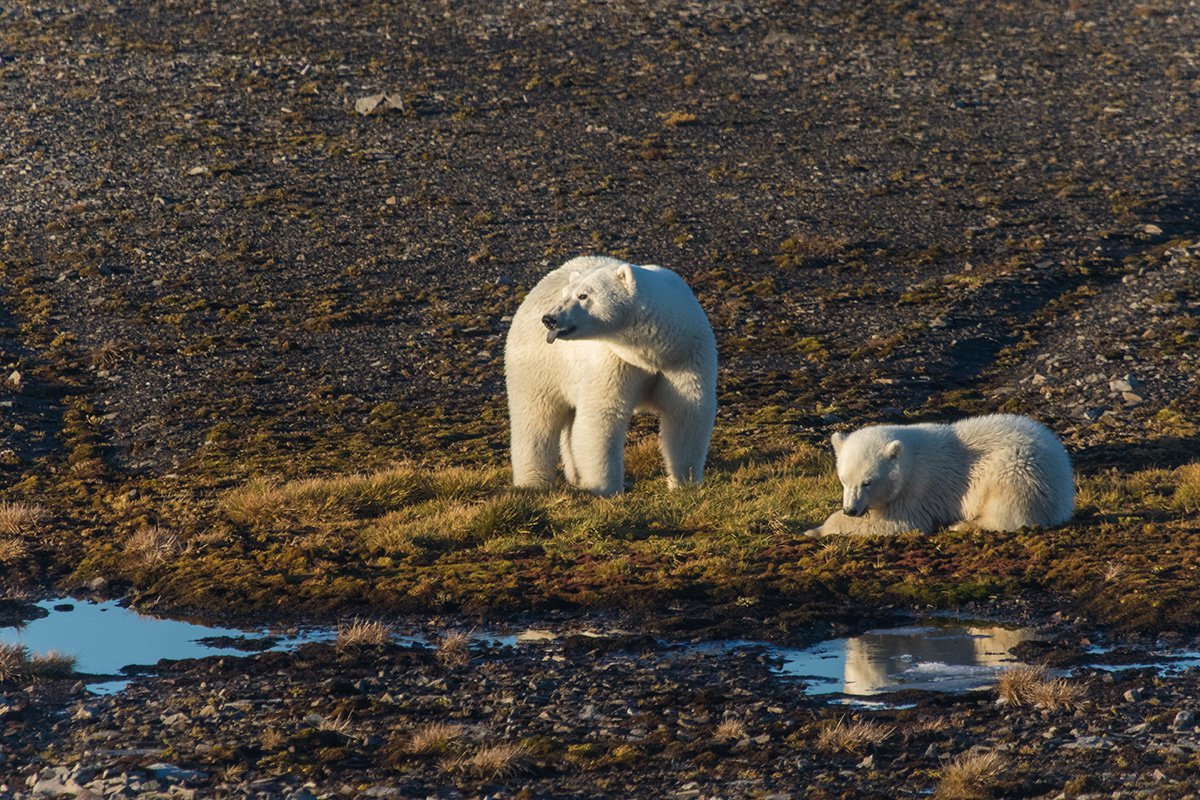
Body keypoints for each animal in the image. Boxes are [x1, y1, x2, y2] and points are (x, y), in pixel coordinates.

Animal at [504, 255, 715, 494]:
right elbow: (602, 415)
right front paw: (606, 489)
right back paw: (532, 482)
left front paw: (684, 483)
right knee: (536, 418)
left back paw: (575, 477)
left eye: (583, 295)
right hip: (540, 364)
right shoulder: (614, 360)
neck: (655, 350)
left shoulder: (687, 356)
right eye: (566, 294)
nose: (550, 319)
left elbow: (687, 411)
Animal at [811, 412, 1075, 537]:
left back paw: (961, 525)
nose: (851, 510)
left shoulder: (917, 490)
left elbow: (899, 522)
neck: (910, 458)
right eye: (843, 480)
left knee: (1007, 511)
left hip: (1019, 469)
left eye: (867, 482)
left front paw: (816, 530)